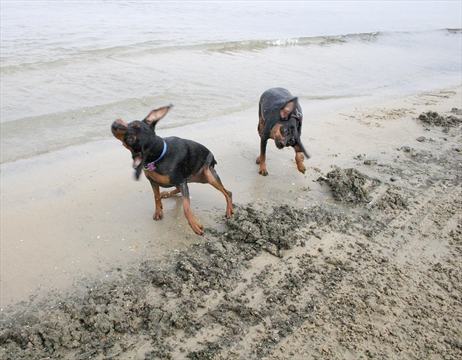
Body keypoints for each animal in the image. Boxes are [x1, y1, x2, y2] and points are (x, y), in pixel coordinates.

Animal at [111, 105, 233, 235]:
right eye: (133, 123)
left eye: (130, 139)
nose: (114, 124)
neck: (158, 156)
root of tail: (212, 156)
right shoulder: (154, 181)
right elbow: (156, 197)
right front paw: (158, 211)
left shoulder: (181, 181)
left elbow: (186, 208)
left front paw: (194, 224)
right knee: (177, 190)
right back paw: (166, 194)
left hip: (208, 175)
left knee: (228, 192)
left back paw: (229, 210)